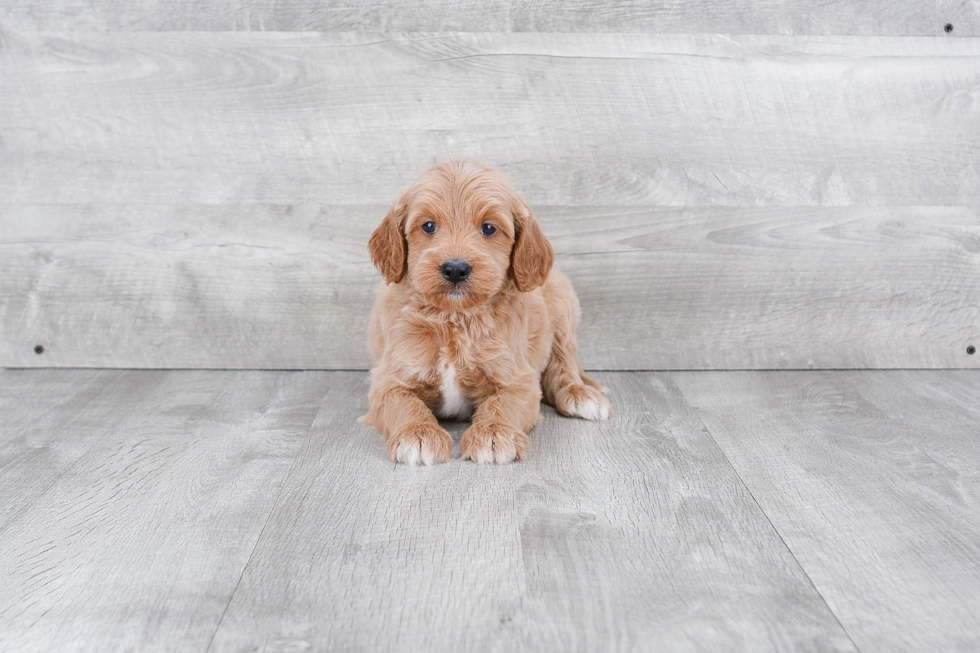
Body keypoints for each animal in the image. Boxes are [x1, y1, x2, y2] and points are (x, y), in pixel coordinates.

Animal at [356, 161, 608, 466]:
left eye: (488, 228)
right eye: (428, 226)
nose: (455, 269)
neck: (454, 318)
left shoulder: (519, 379)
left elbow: (504, 403)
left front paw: (494, 434)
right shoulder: (389, 378)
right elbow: (404, 403)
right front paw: (417, 433)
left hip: (562, 299)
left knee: (564, 362)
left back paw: (580, 394)